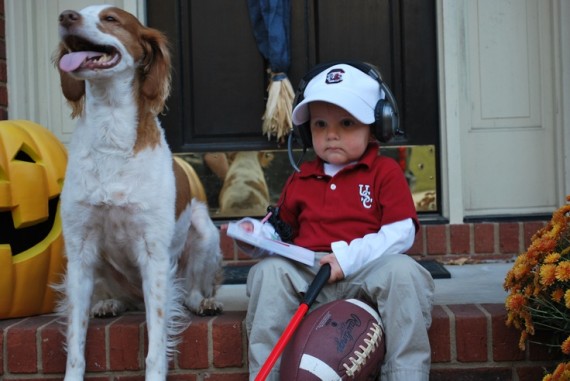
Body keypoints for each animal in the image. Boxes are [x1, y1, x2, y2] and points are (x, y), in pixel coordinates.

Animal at [53, 5, 222, 380]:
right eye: (77, 11)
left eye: (110, 19)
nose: (65, 16)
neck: (110, 129)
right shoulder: (80, 250)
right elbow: (75, 342)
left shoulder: (154, 254)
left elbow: (157, 342)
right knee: (116, 298)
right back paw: (108, 303)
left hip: (205, 230)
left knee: (188, 292)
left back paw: (203, 302)